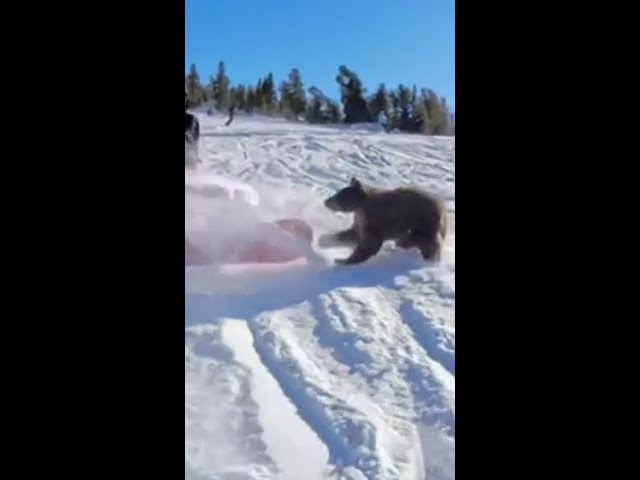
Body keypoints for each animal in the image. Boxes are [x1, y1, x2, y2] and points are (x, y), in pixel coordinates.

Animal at [318, 177, 448, 266]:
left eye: (339, 195)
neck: (361, 205)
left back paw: (430, 259)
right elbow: (352, 233)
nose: (326, 201)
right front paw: (326, 239)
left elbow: (370, 243)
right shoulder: (360, 220)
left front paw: (343, 260)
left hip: (423, 223)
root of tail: (442, 207)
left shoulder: (375, 219)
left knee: (426, 243)